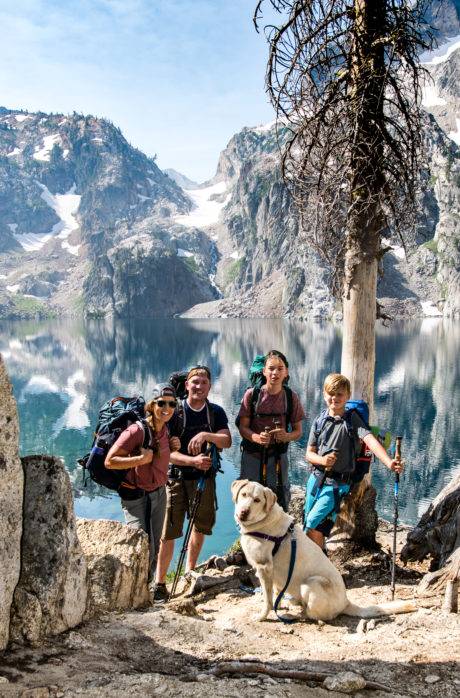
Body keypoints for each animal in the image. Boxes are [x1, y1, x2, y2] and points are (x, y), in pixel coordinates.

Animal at [232, 478, 416, 620]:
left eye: (257, 500)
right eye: (243, 495)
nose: (243, 512)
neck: (263, 521)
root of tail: (346, 602)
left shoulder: (264, 567)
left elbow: (268, 600)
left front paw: (263, 615)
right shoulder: (273, 573)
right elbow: (276, 592)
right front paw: (279, 603)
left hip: (312, 583)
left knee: (316, 616)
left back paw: (297, 614)